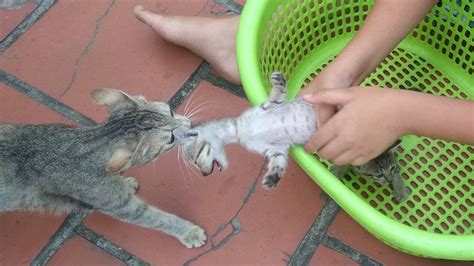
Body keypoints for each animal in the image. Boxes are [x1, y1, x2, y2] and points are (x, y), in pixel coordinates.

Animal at [0, 89, 206, 247]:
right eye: (171, 139)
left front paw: (125, 183)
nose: (190, 124)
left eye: (171, 111)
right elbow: (156, 218)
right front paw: (188, 232)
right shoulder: (121, 207)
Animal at [174, 72, 412, 202]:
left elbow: (277, 97)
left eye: (195, 160)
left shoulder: (269, 107)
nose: (204, 175)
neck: (239, 130)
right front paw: (273, 178)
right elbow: (279, 162)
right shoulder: (275, 149)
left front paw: (279, 81)